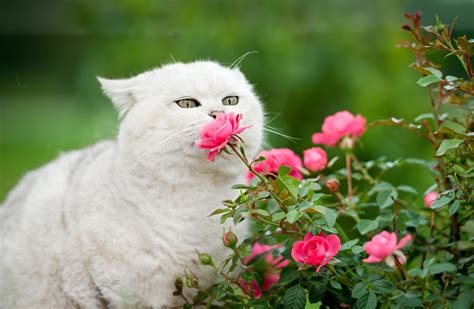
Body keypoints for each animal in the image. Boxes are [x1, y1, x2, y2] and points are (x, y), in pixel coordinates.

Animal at [0, 59, 264, 306]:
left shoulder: (213, 287)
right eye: (187, 104)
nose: (220, 114)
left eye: (230, 100)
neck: (196, 199)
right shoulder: (107, 292)